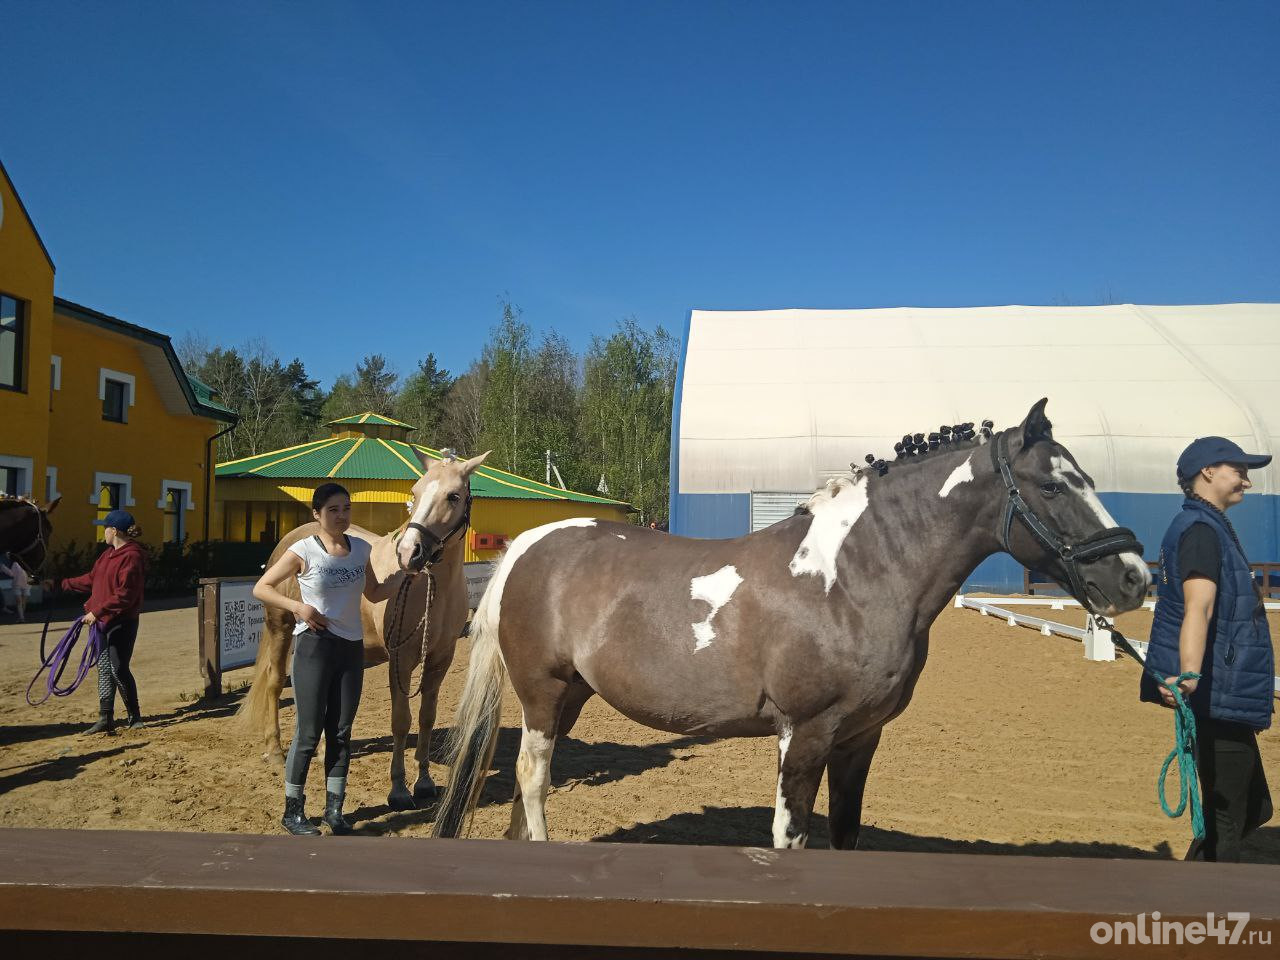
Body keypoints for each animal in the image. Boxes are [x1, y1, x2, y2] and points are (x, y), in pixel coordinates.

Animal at [238, 453, 486, 814]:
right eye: (415, 492)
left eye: (453, 496)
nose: (409, 553)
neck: (431, 590)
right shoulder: (401, 660)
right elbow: (401, 720)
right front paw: (399, 789)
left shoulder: (440, 659)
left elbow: (426, 717)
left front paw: (424, 782)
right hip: (280, 626)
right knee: (274, 683)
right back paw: (275, 750)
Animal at [435, 401, 1157, 855]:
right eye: (1053, 485)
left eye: (1087, 478)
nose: (1134, 579)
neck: (850, 579)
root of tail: (529, 544)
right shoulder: (804, 733)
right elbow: (792, 839)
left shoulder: (859, 739)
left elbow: (844, 835)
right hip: (542, 695)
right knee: (532, 780)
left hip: (571, 698)